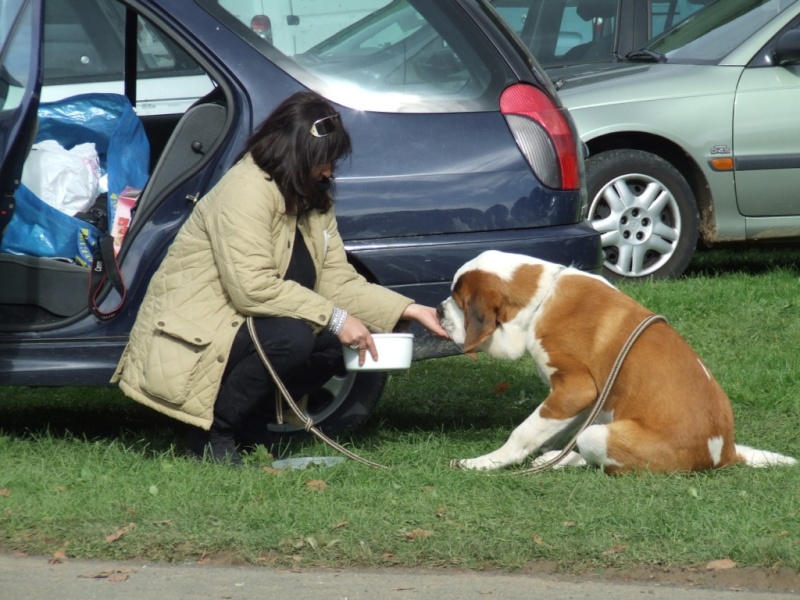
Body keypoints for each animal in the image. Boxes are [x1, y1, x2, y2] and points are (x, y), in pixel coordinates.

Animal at [440, 248, 796, 474]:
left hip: (602, 434)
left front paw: (484, 463)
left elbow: (523, 432)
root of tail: (726, 453)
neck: (541, 298)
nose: (439, 310)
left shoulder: (576, 389)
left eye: (458, 302)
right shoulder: (583, 399)